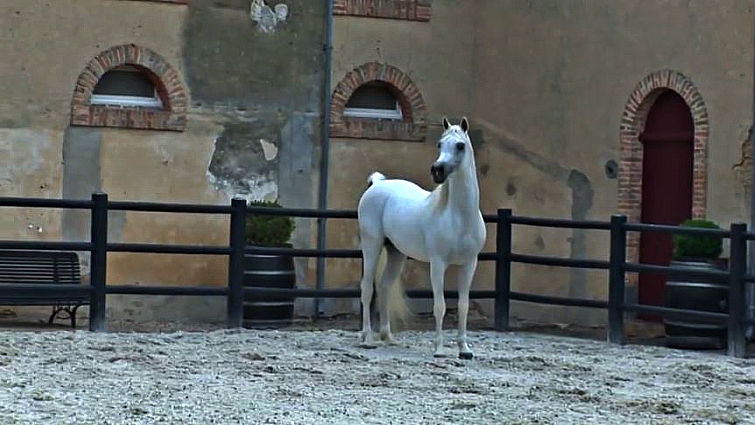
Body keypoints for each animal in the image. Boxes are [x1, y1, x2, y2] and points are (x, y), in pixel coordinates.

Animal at [356, 116, 486, 359]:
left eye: (460, 145)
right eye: (439, 144)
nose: (437, 170)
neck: (459, 217)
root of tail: (377, 184)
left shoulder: (469, 264)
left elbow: (463, 305)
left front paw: (464, 349)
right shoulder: (438, 263)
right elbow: (440, 306)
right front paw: (439, 349)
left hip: (396, 253)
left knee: (385, 286)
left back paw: (388, 337)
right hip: (372, 246)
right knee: (367, 288)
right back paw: (367, 338)